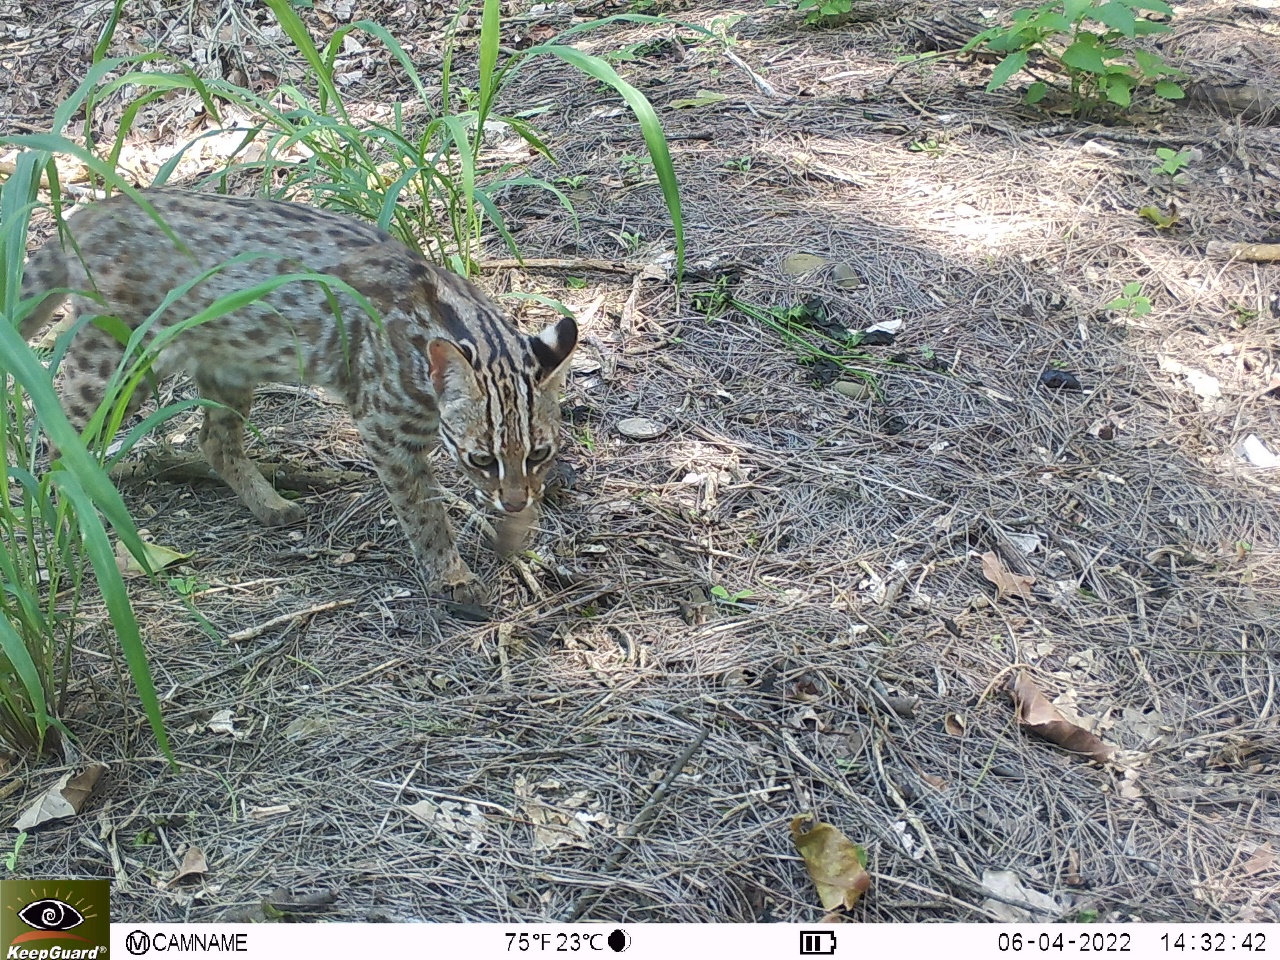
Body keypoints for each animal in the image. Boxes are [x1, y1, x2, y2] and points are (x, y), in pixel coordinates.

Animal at [17, 189, 578, 601]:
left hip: (229, 361)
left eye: (540, 453)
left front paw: (514, 534)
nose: (512, 499)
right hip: (118, 361)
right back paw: (75, 516)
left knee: (212, 439)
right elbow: (423, 509)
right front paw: (451, 574)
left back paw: (268, 502)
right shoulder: (384, 430)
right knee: (54, 438)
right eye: (480, 458)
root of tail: (88, 212)